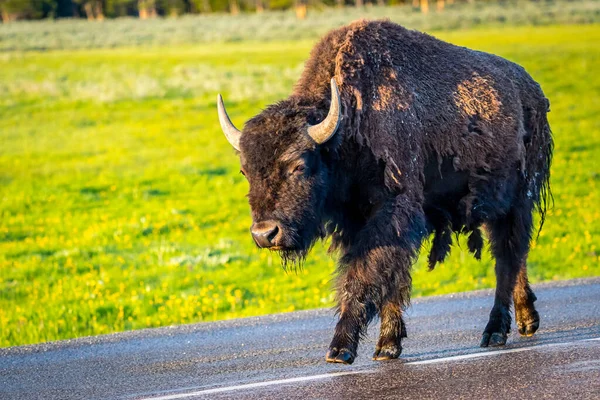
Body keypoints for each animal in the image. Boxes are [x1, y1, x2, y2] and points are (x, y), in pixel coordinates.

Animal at [216, 19, 552, 366]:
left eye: (299, 165)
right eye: (245, 171)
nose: (265, 234)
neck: (348, 123)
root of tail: (532, 90)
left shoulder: (391, 215)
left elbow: (365, 275)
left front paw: (340, 349)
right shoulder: (359, 222)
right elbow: (390, 278)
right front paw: (388, 347)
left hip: (518, 199)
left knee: (507, 258)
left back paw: (495, 331)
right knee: (513, 255)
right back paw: (526, 321)